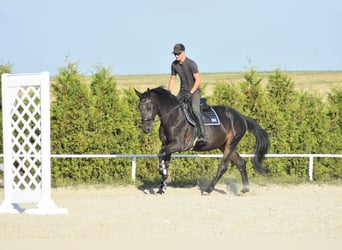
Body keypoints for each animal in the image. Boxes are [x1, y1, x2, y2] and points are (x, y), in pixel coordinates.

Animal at [134, 87, 270, 194]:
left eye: (150, 106)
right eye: (140, 107)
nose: (146, 129)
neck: (172, 116)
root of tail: (240, 116)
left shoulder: (178, 144)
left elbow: (161, 154)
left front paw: (164, 175)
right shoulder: (167, 144)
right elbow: (164, 159)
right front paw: (162, 186)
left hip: (230, 144)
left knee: (223, 167)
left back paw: (208, 190)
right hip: (224, 145)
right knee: (241, 162)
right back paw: (245, 189)